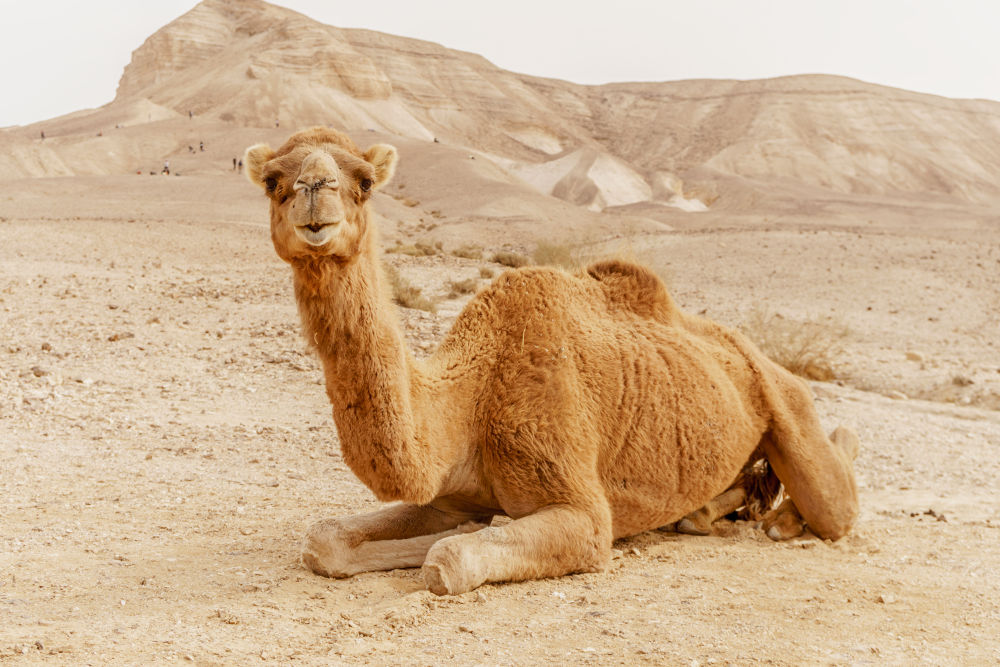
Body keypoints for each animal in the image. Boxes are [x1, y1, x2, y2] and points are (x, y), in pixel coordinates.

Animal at [244, 126, 860, 596]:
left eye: (364, 182)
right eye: (274, 182)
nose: (315, 193)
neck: (473, 398)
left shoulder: (582, 512)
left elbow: (449, 559)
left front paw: (471, 534)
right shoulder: (446, 497)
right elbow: (324, 541)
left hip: (786, 402)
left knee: (835, 502)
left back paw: (789, 510)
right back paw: (709, 513)